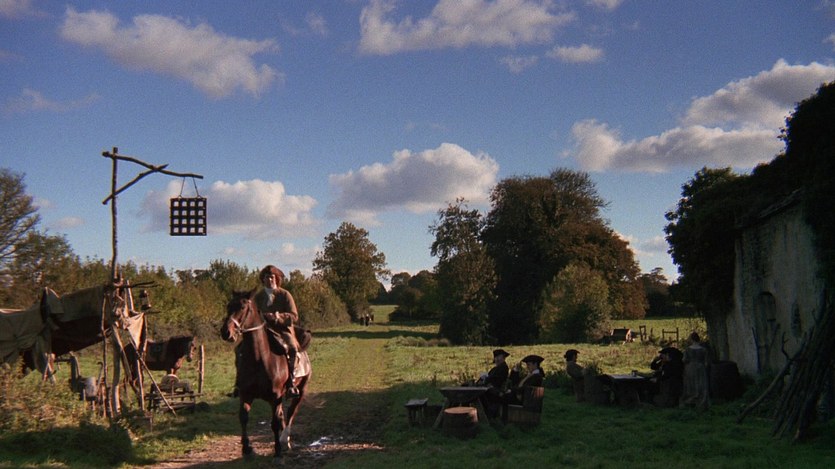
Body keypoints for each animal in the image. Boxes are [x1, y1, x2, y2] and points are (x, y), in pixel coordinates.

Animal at [220, 289, 311, 462]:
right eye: (228, 306)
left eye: (243, 307)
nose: (225, 332)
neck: (259, 358)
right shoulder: (246, 394)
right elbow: (243, 418)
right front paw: (246, 448)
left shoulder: (275, 397)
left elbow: (274, 423)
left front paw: (277, 451)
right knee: (283, 415)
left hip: (300, 391)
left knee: (290, 413)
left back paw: (285, 440)